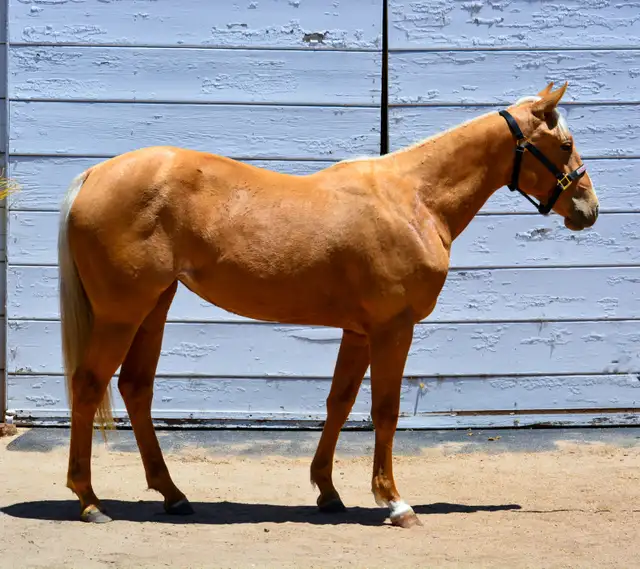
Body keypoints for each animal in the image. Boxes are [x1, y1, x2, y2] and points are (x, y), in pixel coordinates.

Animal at [58, 82, 599, 528]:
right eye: (564, 144)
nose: (589, 210)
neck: (414, 201)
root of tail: (93, 174)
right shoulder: (392, 328)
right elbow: (385, 410)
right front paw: (394, 502)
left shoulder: (358, 331)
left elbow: (339, 402)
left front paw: (328, 491)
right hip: (122, 312)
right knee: (88, 385)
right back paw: (89, 501)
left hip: (154, 304)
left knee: (135, 388)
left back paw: (172, 495)